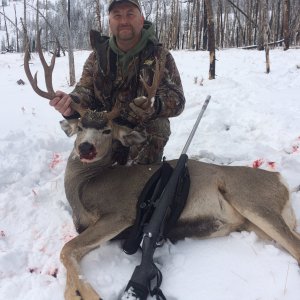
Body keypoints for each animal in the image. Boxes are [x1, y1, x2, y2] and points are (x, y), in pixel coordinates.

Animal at [24, 30, 300, 300]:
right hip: (255, 221)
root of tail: (281, 180)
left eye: (106, 130)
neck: (83, 187)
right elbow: (70, 249)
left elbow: (67, 247)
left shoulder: (120, 212)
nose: (85, 148)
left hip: (253, 201)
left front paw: (86, 293)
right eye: (81, 127)